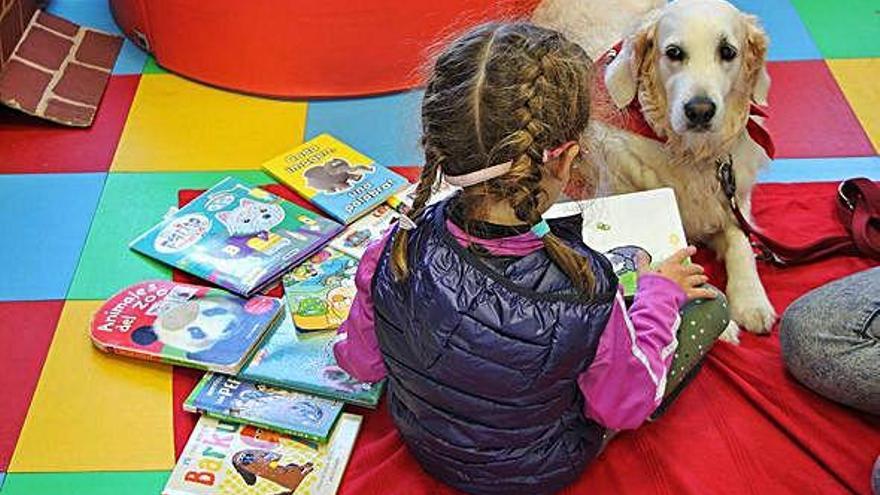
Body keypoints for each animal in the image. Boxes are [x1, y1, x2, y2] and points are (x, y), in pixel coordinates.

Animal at [532, 0, 772, 340]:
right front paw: (721, 323)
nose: (700, 111)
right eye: (674, 52)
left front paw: (752, 301)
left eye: (727, 51)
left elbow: (741, 241)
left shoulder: (730, 198)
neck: (689, 152)